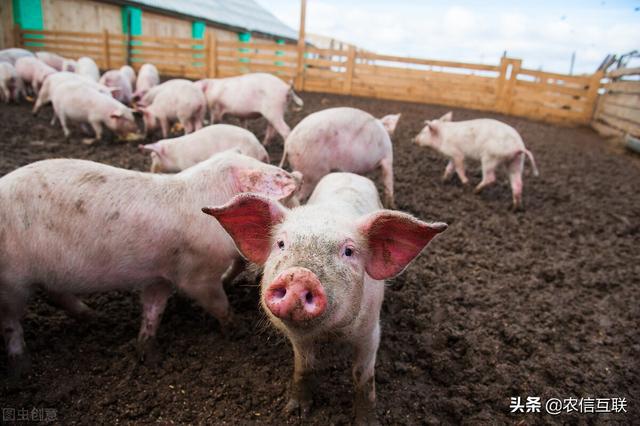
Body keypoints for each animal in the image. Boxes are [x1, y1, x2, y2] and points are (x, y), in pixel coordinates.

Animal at [0, 151, 302, 378]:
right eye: (291, 199)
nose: (297, 182)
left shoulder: (159, 277)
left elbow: (153, 310)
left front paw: (148, 354)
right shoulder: (196, 273)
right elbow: (218, 304)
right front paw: (239, 330)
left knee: (54, 295)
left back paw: (96, 317)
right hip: (12, 282)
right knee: (11, 321)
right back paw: (22, 367)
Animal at [204, 171, 444, 424]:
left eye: (348, 251)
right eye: (281, 243)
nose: (299, 275)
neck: (331, 333)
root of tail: (349, 173)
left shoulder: (371, 331)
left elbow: (363, 376)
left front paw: (366, 421)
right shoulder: (298, 339)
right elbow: (304, 366)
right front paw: (295, 412)